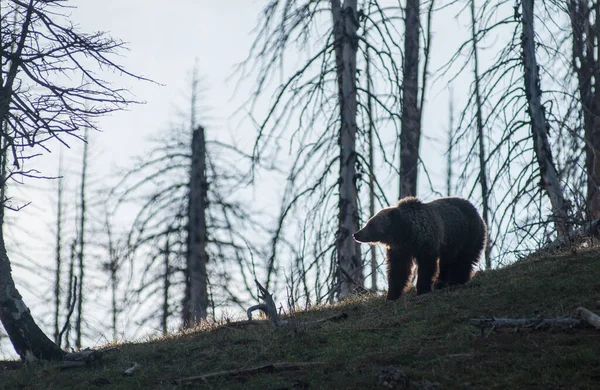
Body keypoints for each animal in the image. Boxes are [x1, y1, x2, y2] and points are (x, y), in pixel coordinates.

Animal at [352, 197, 488, 300]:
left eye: (370, 224)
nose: (356, 234)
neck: (406, 234)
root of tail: (477, 212)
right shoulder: (400, 249)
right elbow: (398, 269)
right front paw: (392, 295)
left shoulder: (426, 243)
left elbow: (426, 266)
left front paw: (422, 289)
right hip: (451, 244)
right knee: (447, 262)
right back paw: (442, 283)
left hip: (468, 235)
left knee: (464, 260)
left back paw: (457, 281)